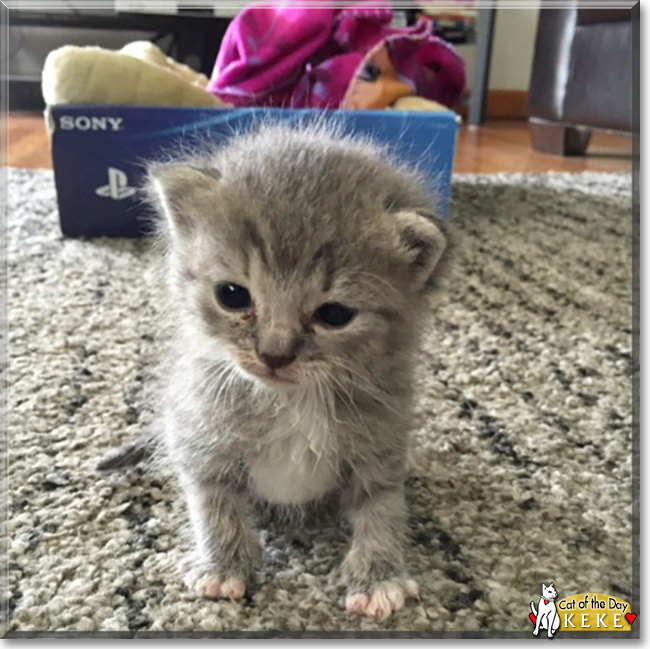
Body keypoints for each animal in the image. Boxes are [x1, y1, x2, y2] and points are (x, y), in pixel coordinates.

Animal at [138, 120, 450, 616]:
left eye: (335, 314)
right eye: (232, 295)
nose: (275, 353)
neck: (290, 402)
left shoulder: (381, 444)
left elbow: (383, 509)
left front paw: (379, 574)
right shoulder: (199, 432)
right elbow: (212, 502)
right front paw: (223, 565)